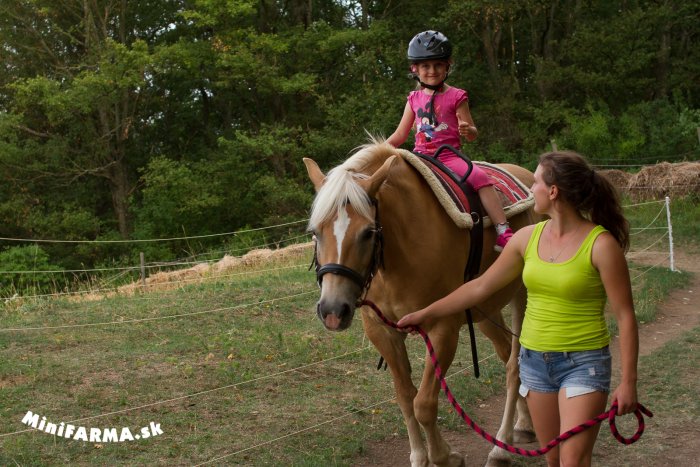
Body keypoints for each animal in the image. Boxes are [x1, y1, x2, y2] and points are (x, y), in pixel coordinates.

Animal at [304, 143, 540, 467]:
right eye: (315, 232)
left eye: (368, 232)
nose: (332, 310)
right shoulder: (383, 332)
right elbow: (405, 396)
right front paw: (419, 456)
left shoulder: (443, 328)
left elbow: (424, 403)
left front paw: (445, 456)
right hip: (486, 309)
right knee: (507, 355)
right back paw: (524, 425)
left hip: (524, 296)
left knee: (515, 367)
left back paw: (501, 448)